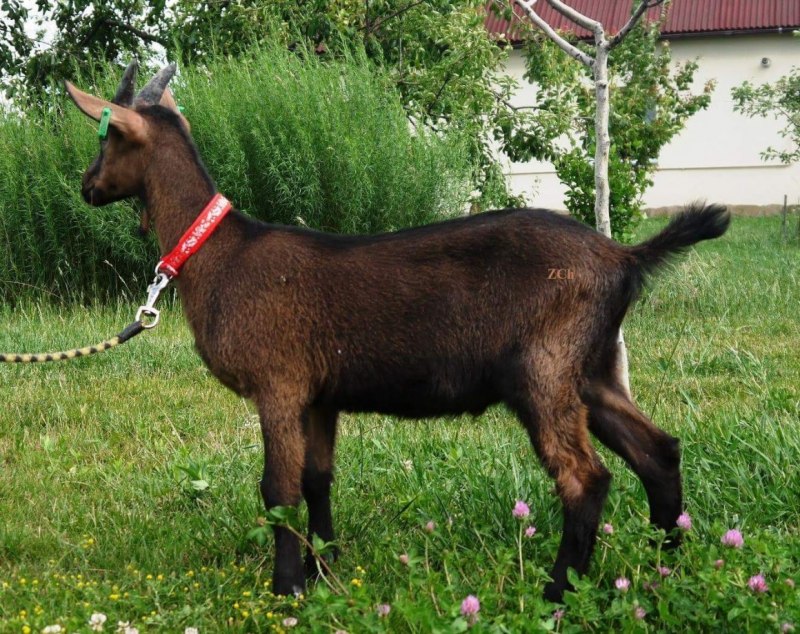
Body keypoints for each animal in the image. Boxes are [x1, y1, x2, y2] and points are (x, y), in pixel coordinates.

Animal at [65, 62, 729, 602]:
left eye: (107, 136)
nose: (85, 186)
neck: (223, 255)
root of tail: (624, 258)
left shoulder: (278, 383)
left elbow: (278, 489)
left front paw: (287, 589)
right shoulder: (320, 393)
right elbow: (317, 479)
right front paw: (325, 568)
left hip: (544, 368)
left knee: (585, 478)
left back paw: (559, 591)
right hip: (594, 367)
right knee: (658, 452)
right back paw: (664, 566)